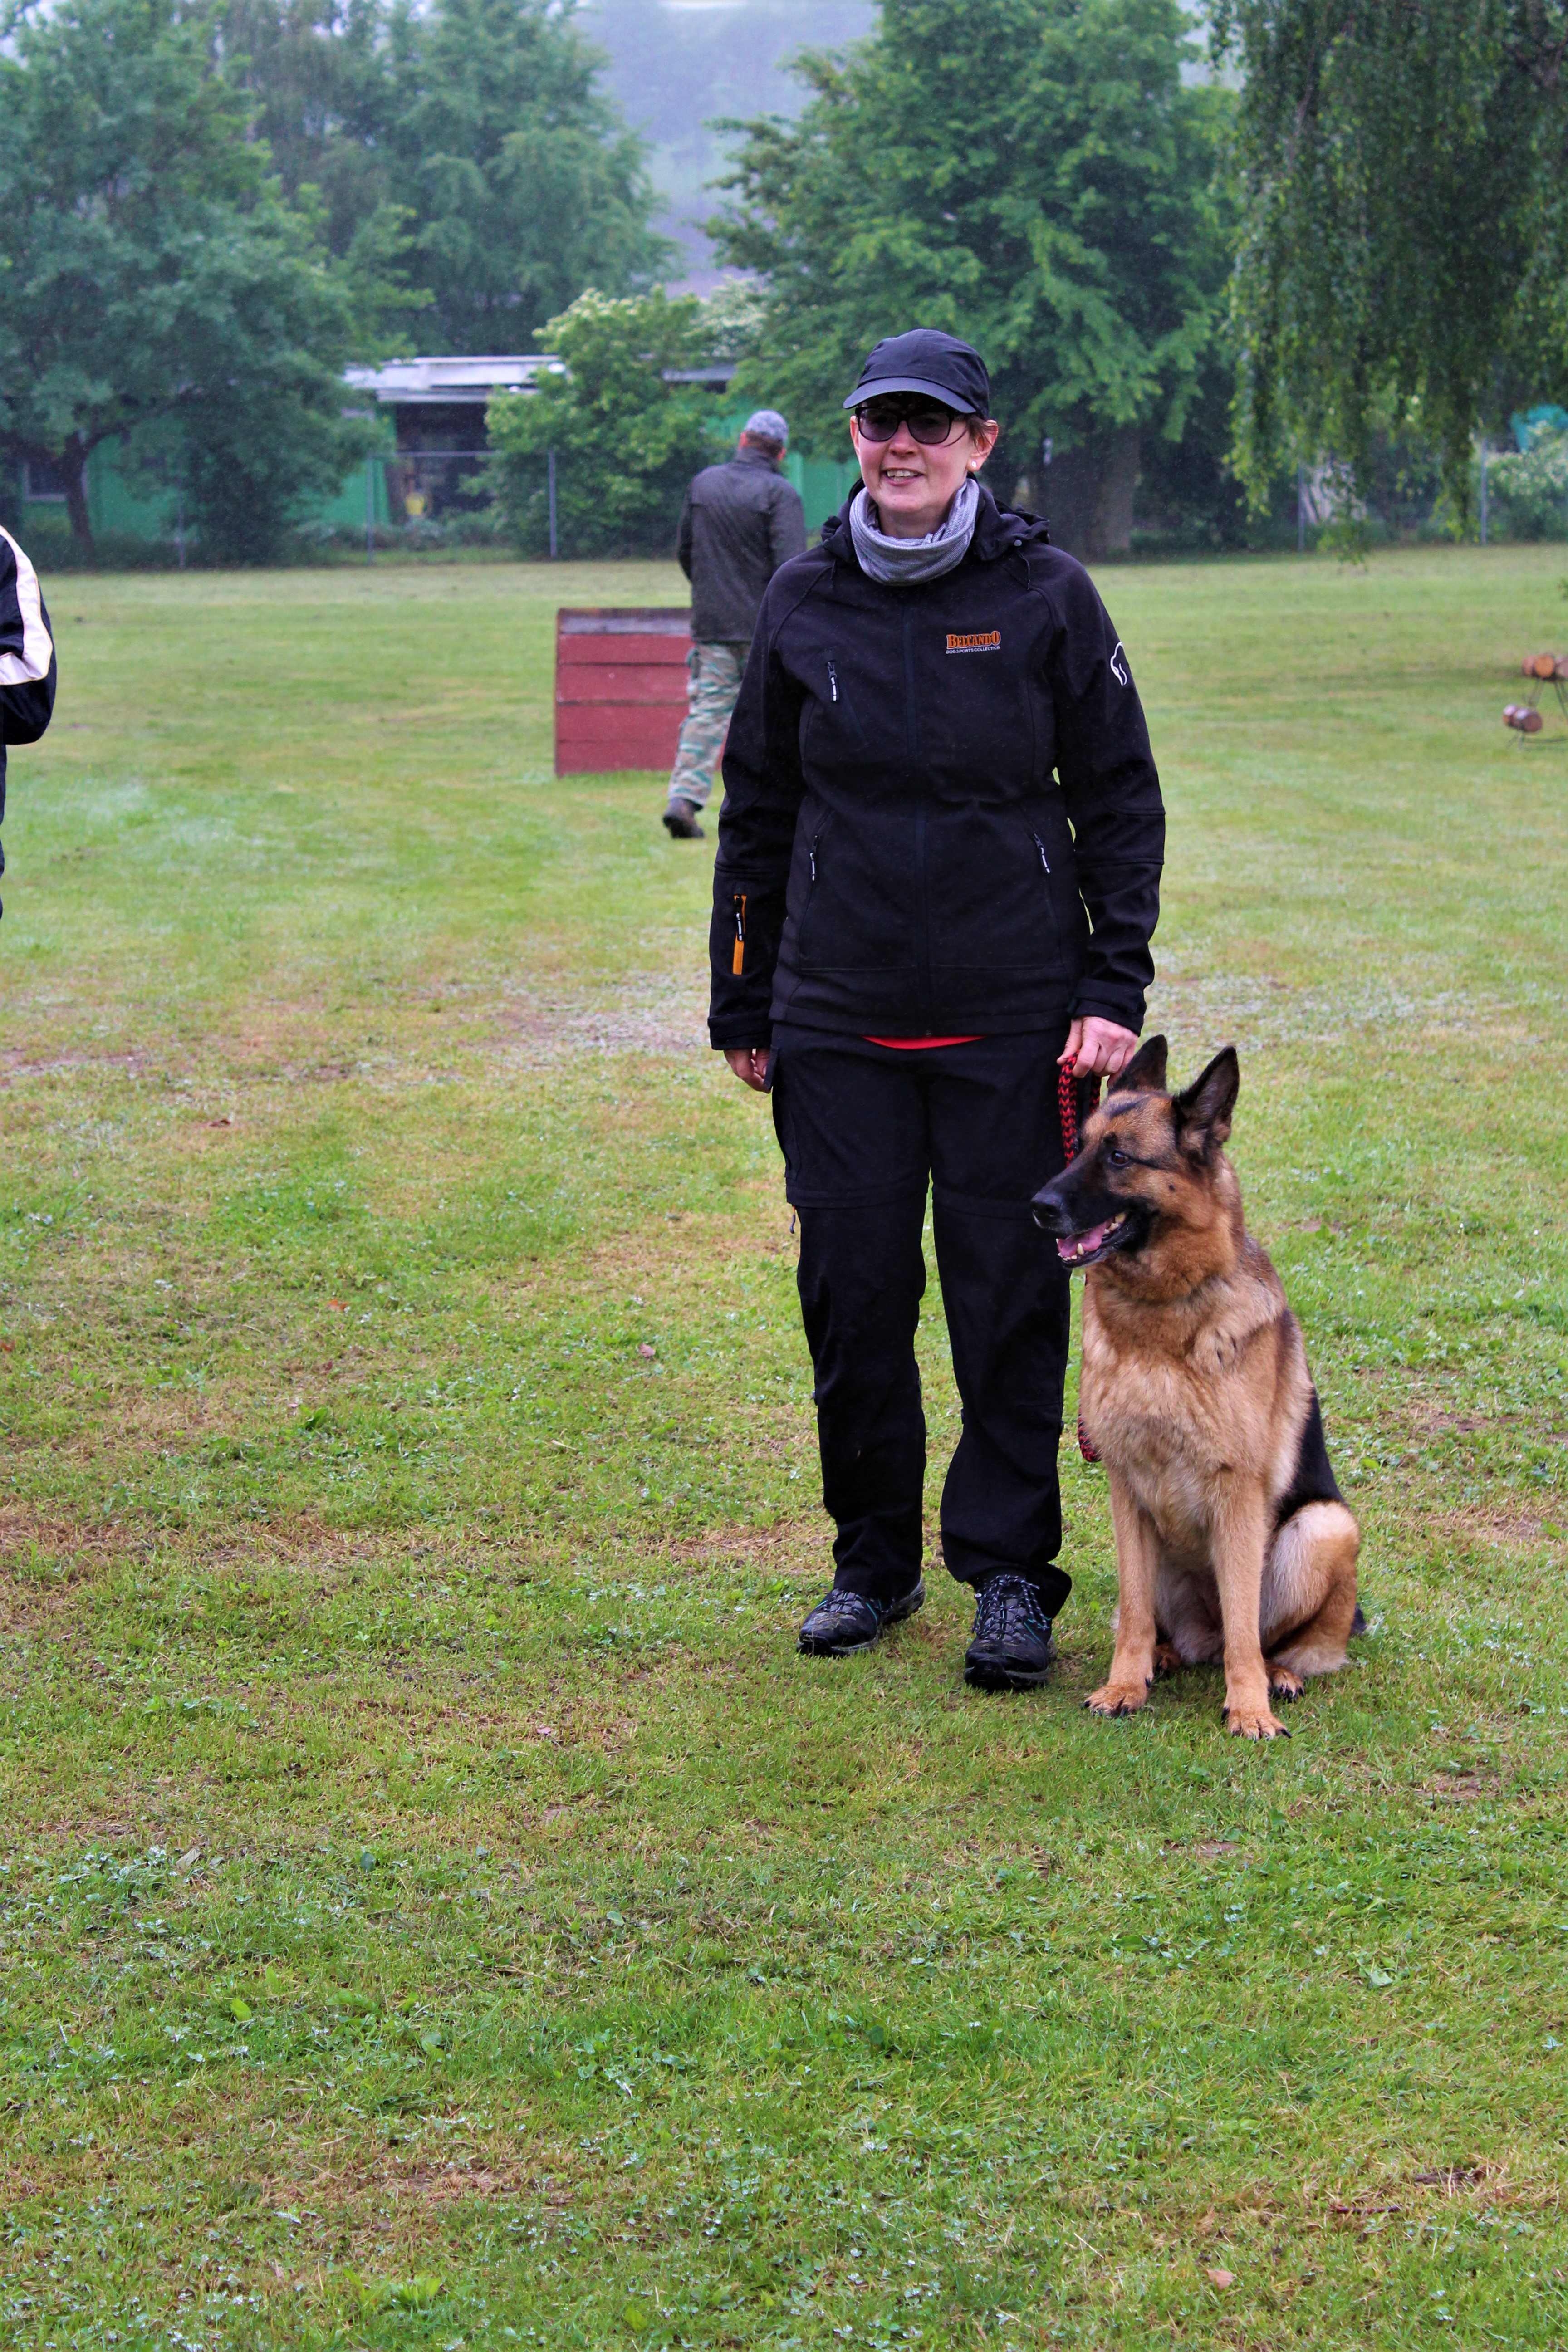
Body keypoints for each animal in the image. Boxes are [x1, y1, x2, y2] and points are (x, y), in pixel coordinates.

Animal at [1029, 1039, 1363, 1740]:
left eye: (1120, 1157)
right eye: (1082, 1148)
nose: (1038, 1207)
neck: (1160, 1322)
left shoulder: (1238, 1494)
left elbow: (1244, 1623)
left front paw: (1250, 1707)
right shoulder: (1127, 1489)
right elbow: (1132, 1609)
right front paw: (1124, 1685)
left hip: (1325, 1527)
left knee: (1281, 1639)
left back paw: (1279, 1674)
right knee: (1168, 1626)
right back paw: (1163, 1656)